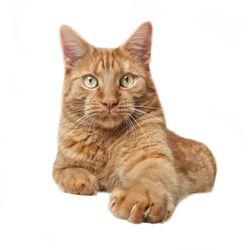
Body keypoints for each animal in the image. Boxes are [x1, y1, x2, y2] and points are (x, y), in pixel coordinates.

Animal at [53, 22, 217, 224]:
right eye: (90, 81)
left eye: (126, 80)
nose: (109, 102)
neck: (107, 140)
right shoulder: (60, 164)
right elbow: (69, 171)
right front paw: (81, 180)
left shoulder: (153, 156)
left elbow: (150, 176)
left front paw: (141, 196)